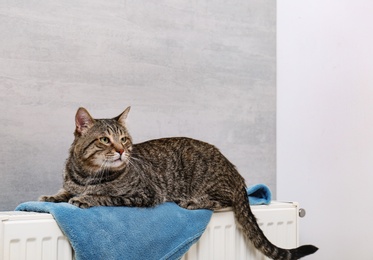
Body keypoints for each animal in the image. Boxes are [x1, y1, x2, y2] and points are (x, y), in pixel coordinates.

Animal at [40, 106, 316, 258]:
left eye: (125, 139)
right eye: (105, 140)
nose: (122, 151)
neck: (87, 173)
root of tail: (235, 173)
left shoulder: (144, 194)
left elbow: (105, 196)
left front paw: (86, 198)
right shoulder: (72, 182)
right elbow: (64, 191)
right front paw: (51, 196)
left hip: (208, 180)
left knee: (221, 201)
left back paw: (192, 202)